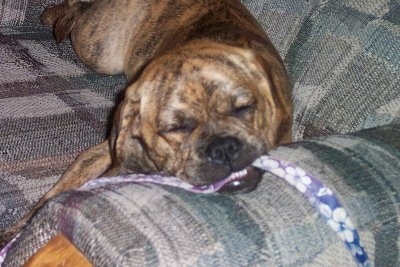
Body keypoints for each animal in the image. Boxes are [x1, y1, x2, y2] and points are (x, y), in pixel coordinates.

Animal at [0, 0, 294, 247]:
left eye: (244, 107)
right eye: (175, 128)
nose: (223, 148)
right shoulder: (101, 153)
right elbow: (49, 198)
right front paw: (14, 234)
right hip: (100, 49)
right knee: (77, 9)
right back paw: (54, 15)